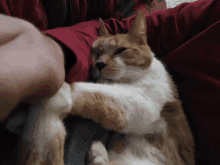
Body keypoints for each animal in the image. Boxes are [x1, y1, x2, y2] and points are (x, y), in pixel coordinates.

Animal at [18, 11, 194, 165]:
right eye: (96, 52)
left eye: (121, 50)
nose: (99, 64)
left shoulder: (143, 102)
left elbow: (93, 92)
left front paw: (58, 93)